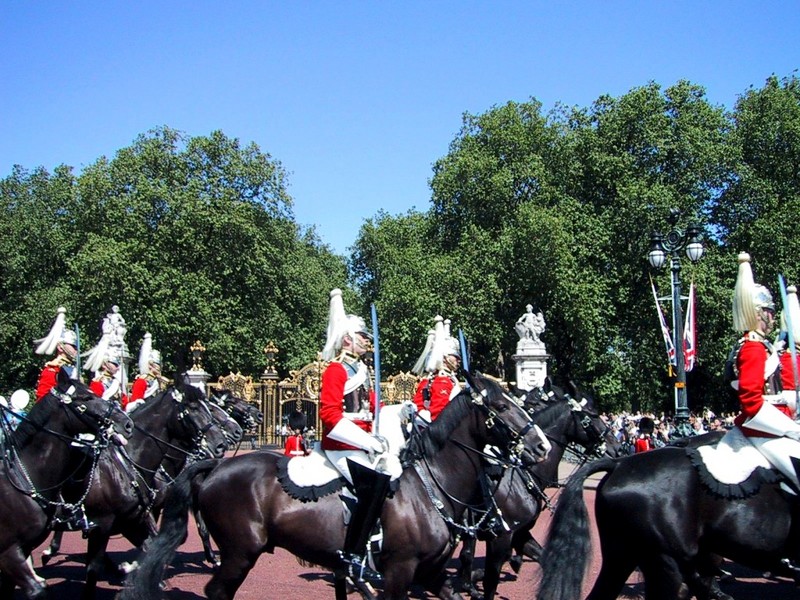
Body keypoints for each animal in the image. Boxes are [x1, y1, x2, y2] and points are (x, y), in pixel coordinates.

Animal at [122, 376, 552, 600]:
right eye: (502, 407)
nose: (541, 446)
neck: (433, 487)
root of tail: (217, 465)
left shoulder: (430, 571)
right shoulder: (400, 569)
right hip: (241, 553)